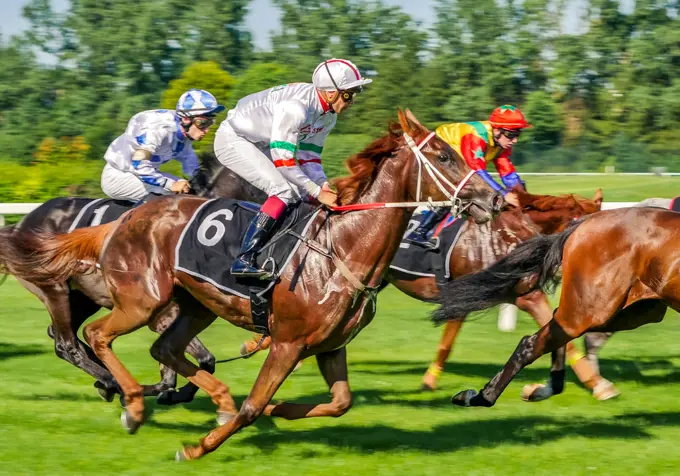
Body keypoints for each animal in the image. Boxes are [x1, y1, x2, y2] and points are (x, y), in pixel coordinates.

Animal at [0, 109, 500, 462]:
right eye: (443, 156)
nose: (493, 198)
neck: (340, 247)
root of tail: (123, 220)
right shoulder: (287, 342)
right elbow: (253, 406)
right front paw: (198, 446)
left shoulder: (330, 345)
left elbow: (340, 402)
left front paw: (279, 412)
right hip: (139, 300)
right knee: (91, 337)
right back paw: (131, 402)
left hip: (192, 305)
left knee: (163, 349)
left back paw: (190, 395)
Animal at [432, 205, 680, 410]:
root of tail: (583, 224)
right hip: (591, 308)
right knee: (534, 341)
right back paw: (481, 397)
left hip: (636, 309)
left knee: (558, 328)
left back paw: (545, 388)